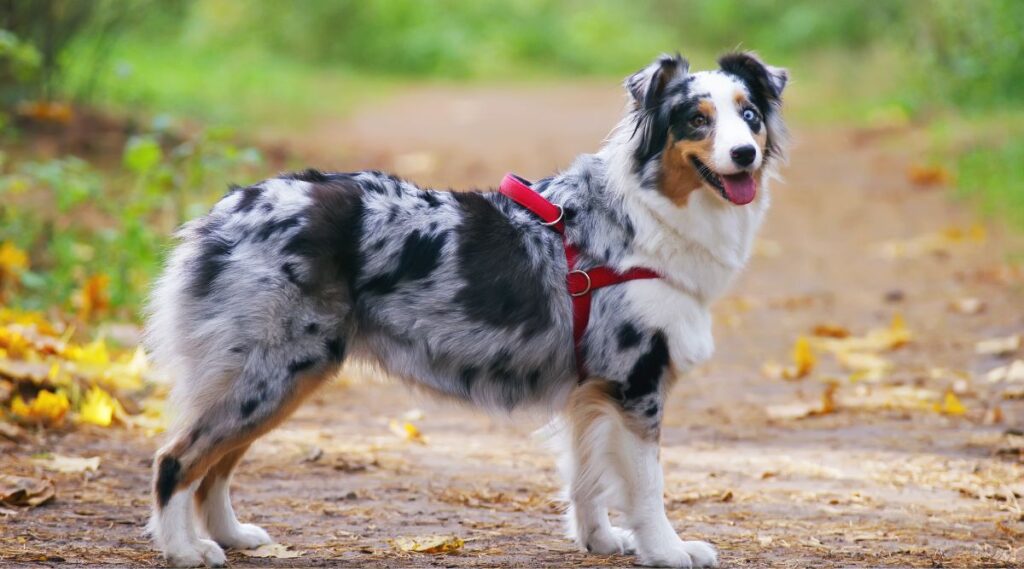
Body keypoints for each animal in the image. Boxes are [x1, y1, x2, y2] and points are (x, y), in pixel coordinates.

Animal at [144, 51, 786, 564]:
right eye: (696, 120)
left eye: (750, 116)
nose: (744, 154)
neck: (646, 218)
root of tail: (223, 212)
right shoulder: (635, 383)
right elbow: (647, 487)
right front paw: (669, 551)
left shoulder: (591, 390)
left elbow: (588, 480)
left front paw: (600, 542)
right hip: (274, 370)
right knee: (178, 459)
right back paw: (185, 549)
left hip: (277, 376)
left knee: (216, 465)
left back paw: (231, 537)